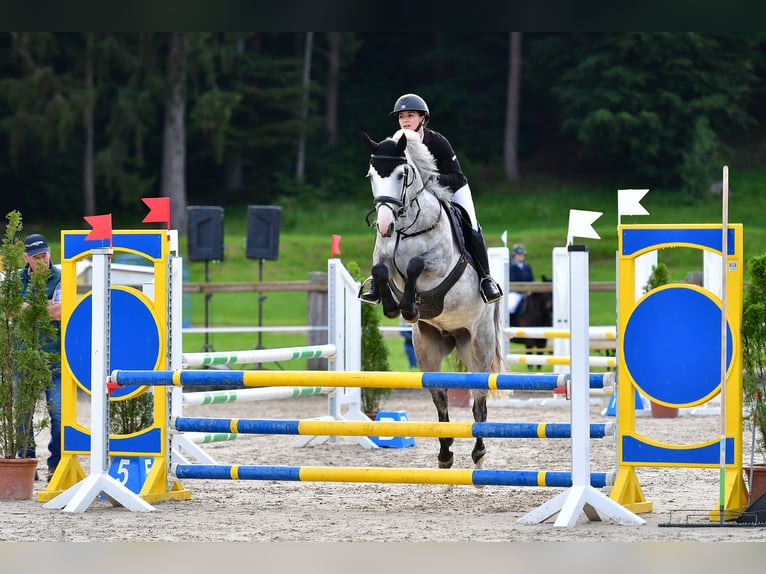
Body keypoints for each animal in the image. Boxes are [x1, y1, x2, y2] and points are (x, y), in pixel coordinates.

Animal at [364, 129, 508, 472]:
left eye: (401, 175)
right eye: (372, 176)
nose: (385, 225)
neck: (407, 227)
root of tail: (453, 335)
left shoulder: (439, 266)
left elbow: (417, 266)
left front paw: (409, 305)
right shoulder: (385, 261)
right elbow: (380, 270)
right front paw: (393, 306)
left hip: (478, 346)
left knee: (479, 403)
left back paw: (478, 453)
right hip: (428, 347)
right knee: (440, 398)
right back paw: (444, 454)